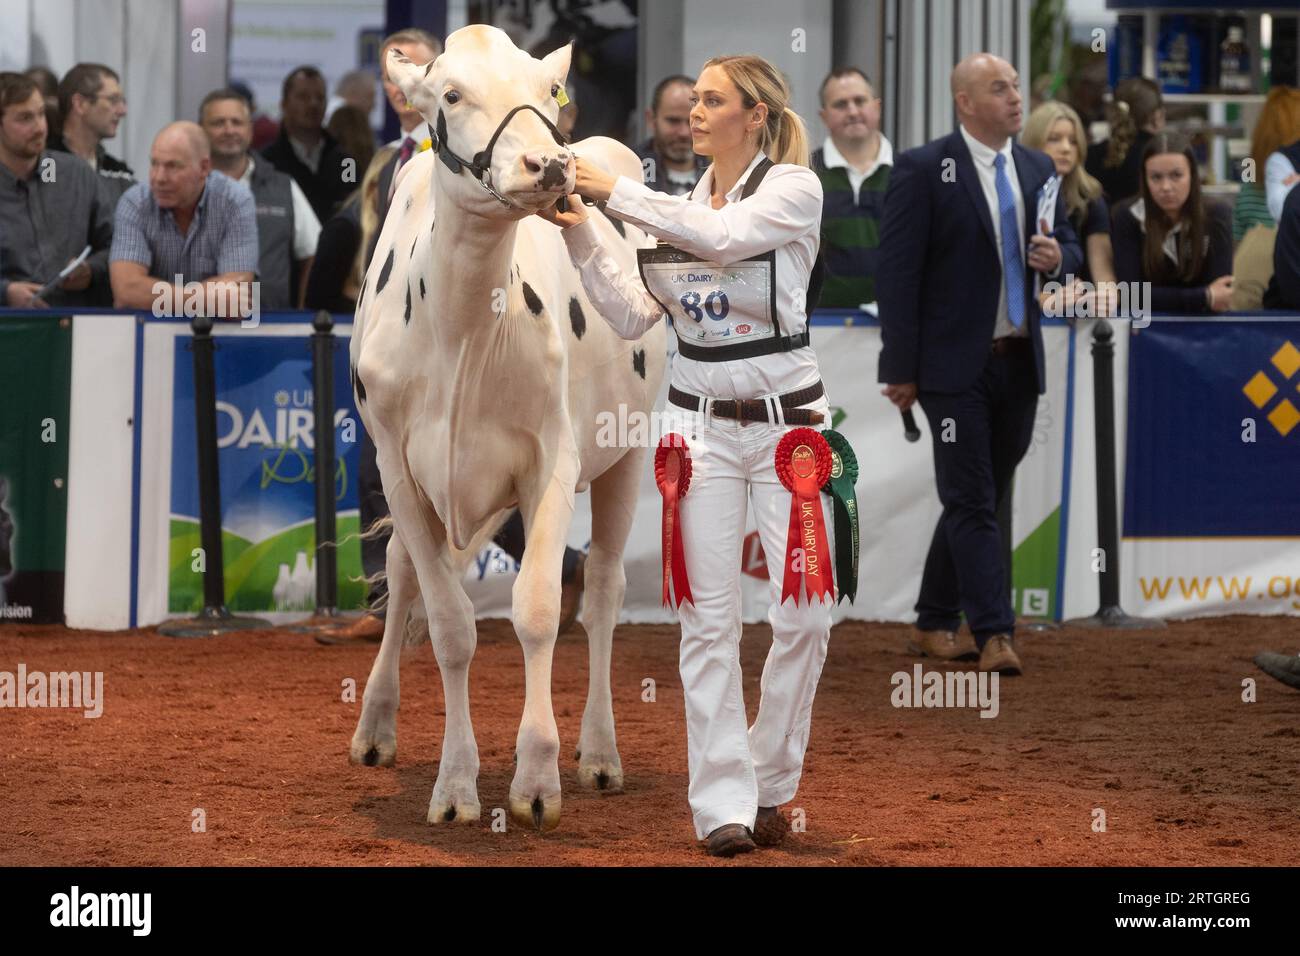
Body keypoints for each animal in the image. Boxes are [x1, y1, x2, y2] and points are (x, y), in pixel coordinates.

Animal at [347, 25, 667, 832]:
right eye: (451, 93)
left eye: (547, 89)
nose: (550, 163)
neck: (464, 326)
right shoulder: (398, 466)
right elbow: (451, 624)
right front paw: (456, 786)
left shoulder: (549, 459)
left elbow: (538, 610)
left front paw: (537, 779)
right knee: (402, 570)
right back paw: (375, 727)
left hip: (625, 452)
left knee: (605, 588)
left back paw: (599, 752)